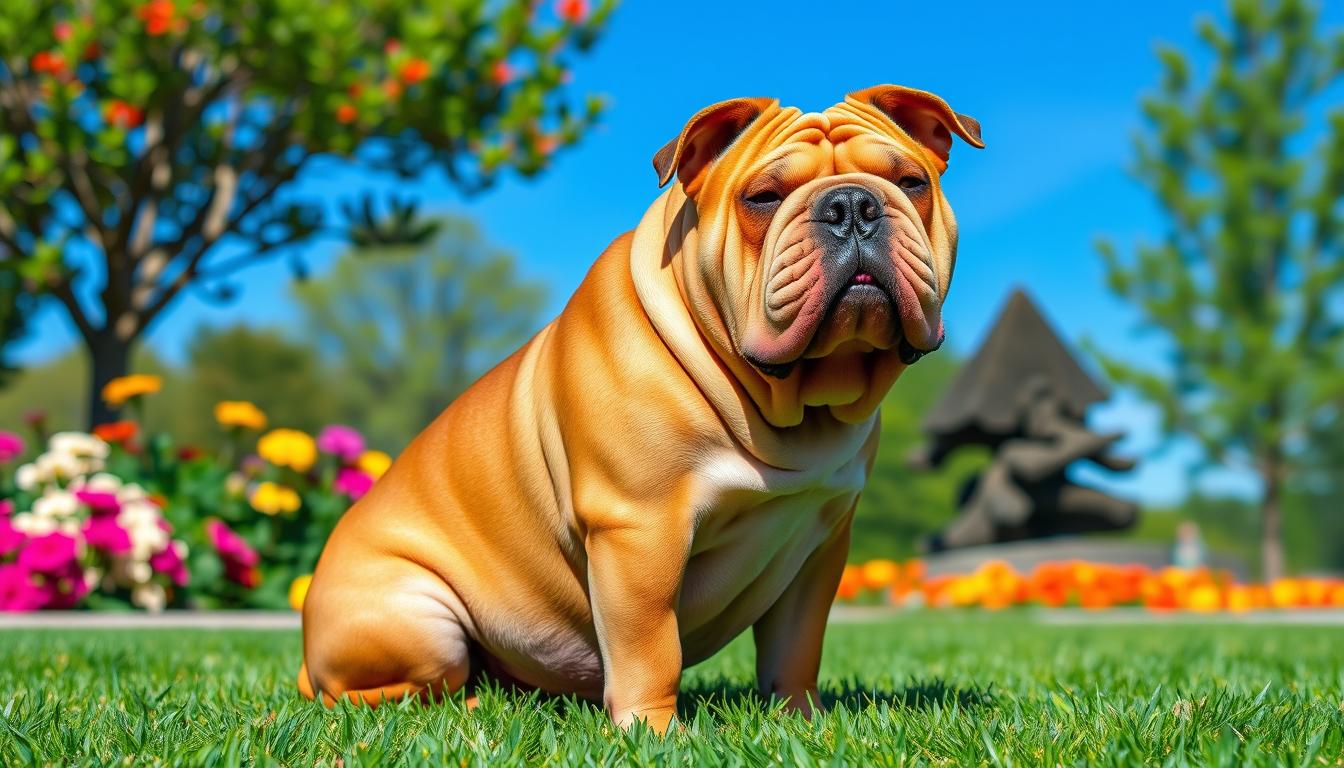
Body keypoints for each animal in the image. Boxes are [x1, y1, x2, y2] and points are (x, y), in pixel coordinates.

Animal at [299, 84, 983, 731]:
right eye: (763, 198)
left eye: (912, 183)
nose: (852, 206)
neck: (788, 405)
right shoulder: (638, 532)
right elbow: (650, 647)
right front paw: (653, 731)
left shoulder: (818, 546)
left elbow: (795, 648)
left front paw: (802, 720)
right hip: (418, 618)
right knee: (380, 694)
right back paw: (471, 705)